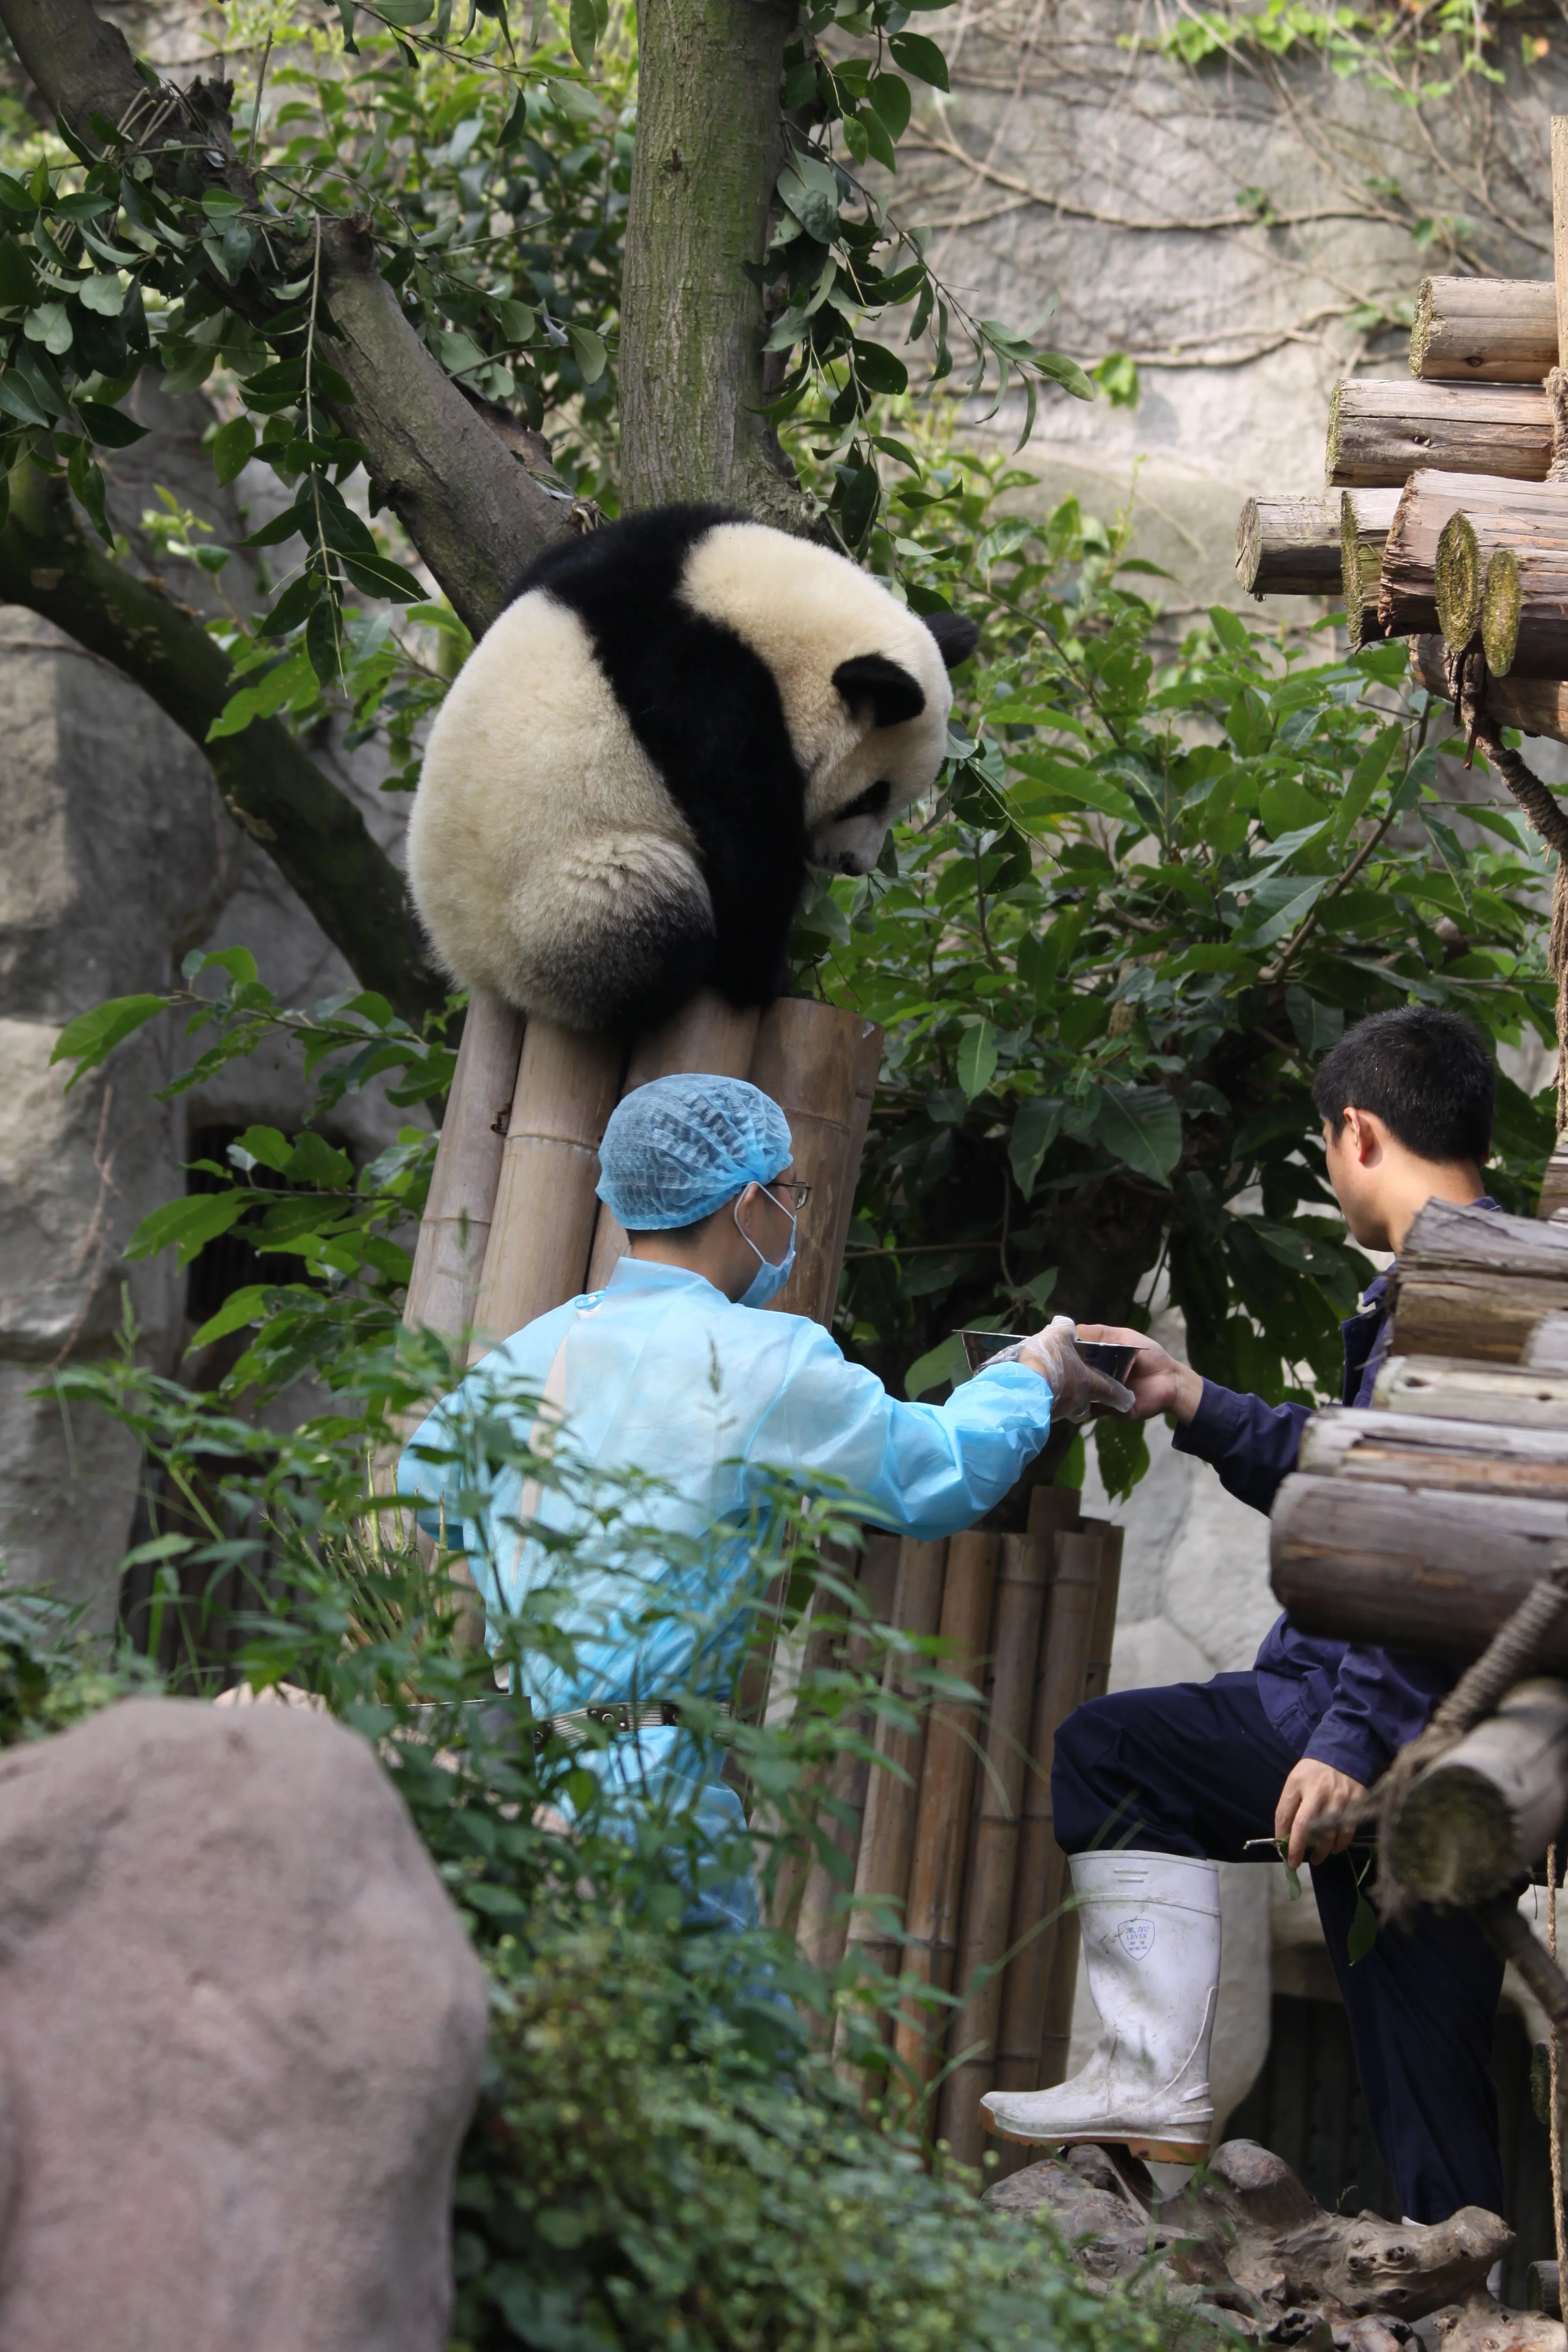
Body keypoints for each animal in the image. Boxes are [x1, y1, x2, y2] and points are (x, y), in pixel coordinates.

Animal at [406, 502, 978, 1034]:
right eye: (869, 797)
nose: (854, 863)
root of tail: (470, 969)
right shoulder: (702, 688)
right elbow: (749, 837)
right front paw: (759, 977)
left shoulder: (637, 546)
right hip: (555, 913)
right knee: (652, 908)